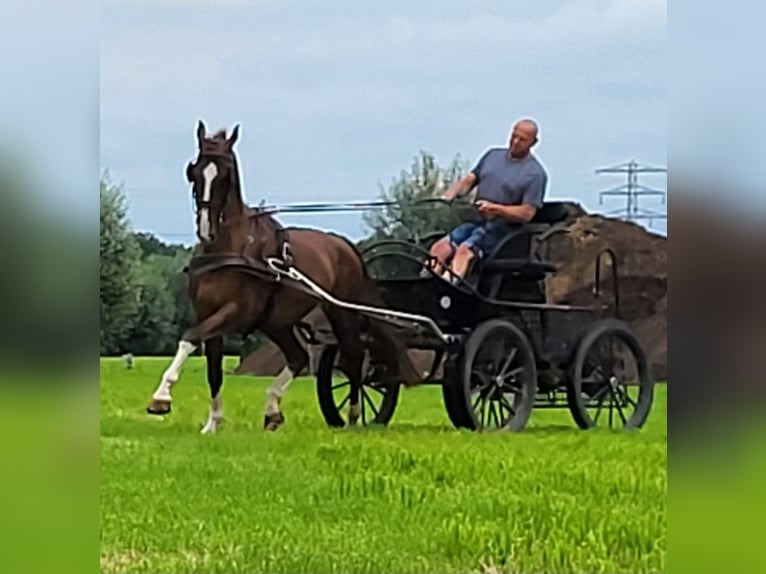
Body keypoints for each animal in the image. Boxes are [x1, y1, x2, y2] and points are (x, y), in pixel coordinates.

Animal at [147, 120, 424, 432]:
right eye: (194, 171)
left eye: (225, 175)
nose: (206, 229)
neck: (230, 247)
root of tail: (345, 246)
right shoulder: (207, 312)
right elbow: (213, 370)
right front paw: (212, 423)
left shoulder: (236, 311)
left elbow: (189, 337)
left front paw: (161, 397)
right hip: (276, 322)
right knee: (298, 356)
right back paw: (273, 410)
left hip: (340, 312)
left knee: (353, 358)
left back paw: (353, 416)